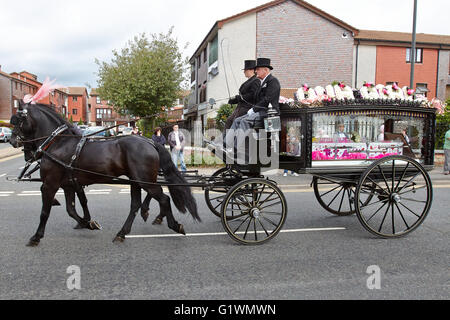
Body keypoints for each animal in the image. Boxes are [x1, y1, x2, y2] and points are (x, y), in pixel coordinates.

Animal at [8, 101, 199, 246]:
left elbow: (45, 212)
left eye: (17, 120)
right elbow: (71, 209)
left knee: (163, 199)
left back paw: (174, 225)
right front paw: (88, 223)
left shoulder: (49, 184)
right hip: (136, 181)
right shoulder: (68, 184)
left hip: (145, 180)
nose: (11, 140)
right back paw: (122, 233)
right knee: (135, 205)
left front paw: (36, 236)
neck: (59, 143)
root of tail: (149, 142)